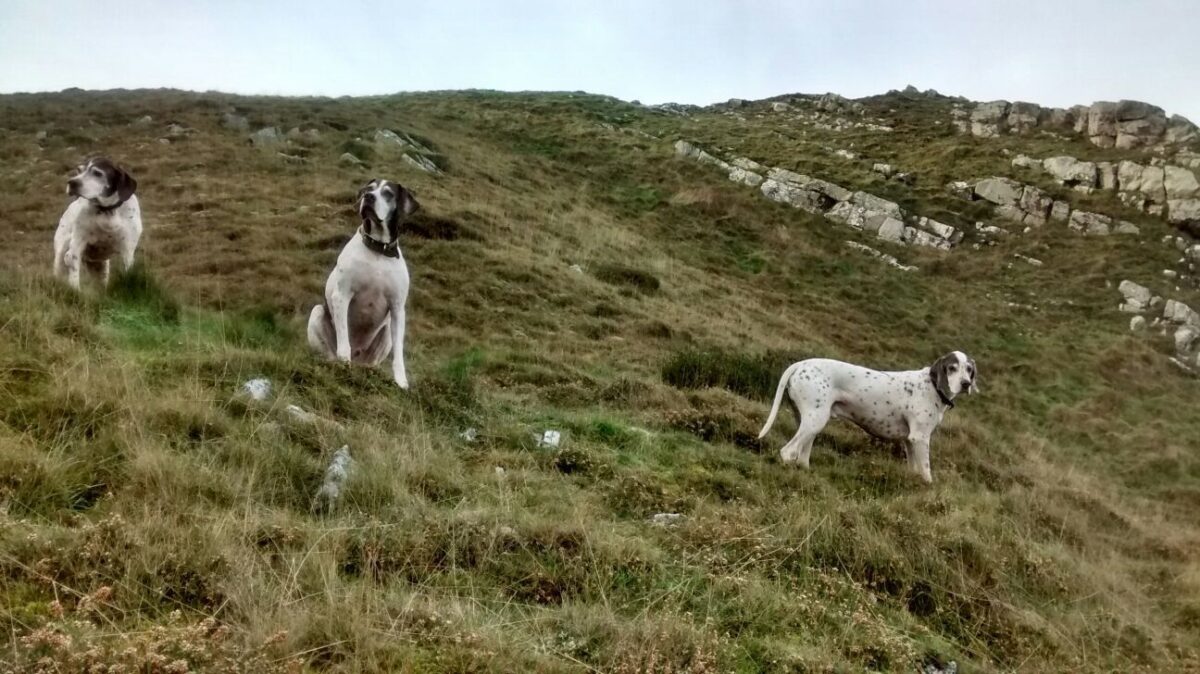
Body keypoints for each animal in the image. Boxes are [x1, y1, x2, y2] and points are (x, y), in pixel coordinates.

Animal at [53, 157, 142, 289]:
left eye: (98, 173)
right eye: (79, 170)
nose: (72, 182)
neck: (107, 211)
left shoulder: (128, 249)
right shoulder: (76, 246)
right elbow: (74, 276)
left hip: (101, 267)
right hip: (62, 252)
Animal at [307, 178, 420, 388]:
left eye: (388, 193)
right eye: (369, 189)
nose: (369, 197)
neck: (378, 251)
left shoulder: (397, 308)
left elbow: (399, 354)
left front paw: (401, 381)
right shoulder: (342, 295)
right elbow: (344, 341)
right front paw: (344, 364)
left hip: (386, 332)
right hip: (317, 313)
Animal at [758, 347, 974, 479]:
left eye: (969, 369)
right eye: (952, 368)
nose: (966, 384)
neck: (933, 387)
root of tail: (801, 364)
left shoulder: (910, 441)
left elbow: (914, 470)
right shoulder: (920, 438)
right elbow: (927, 473)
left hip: (810, 423)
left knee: (802, 454)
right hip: (815, 421)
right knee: (788, 452)